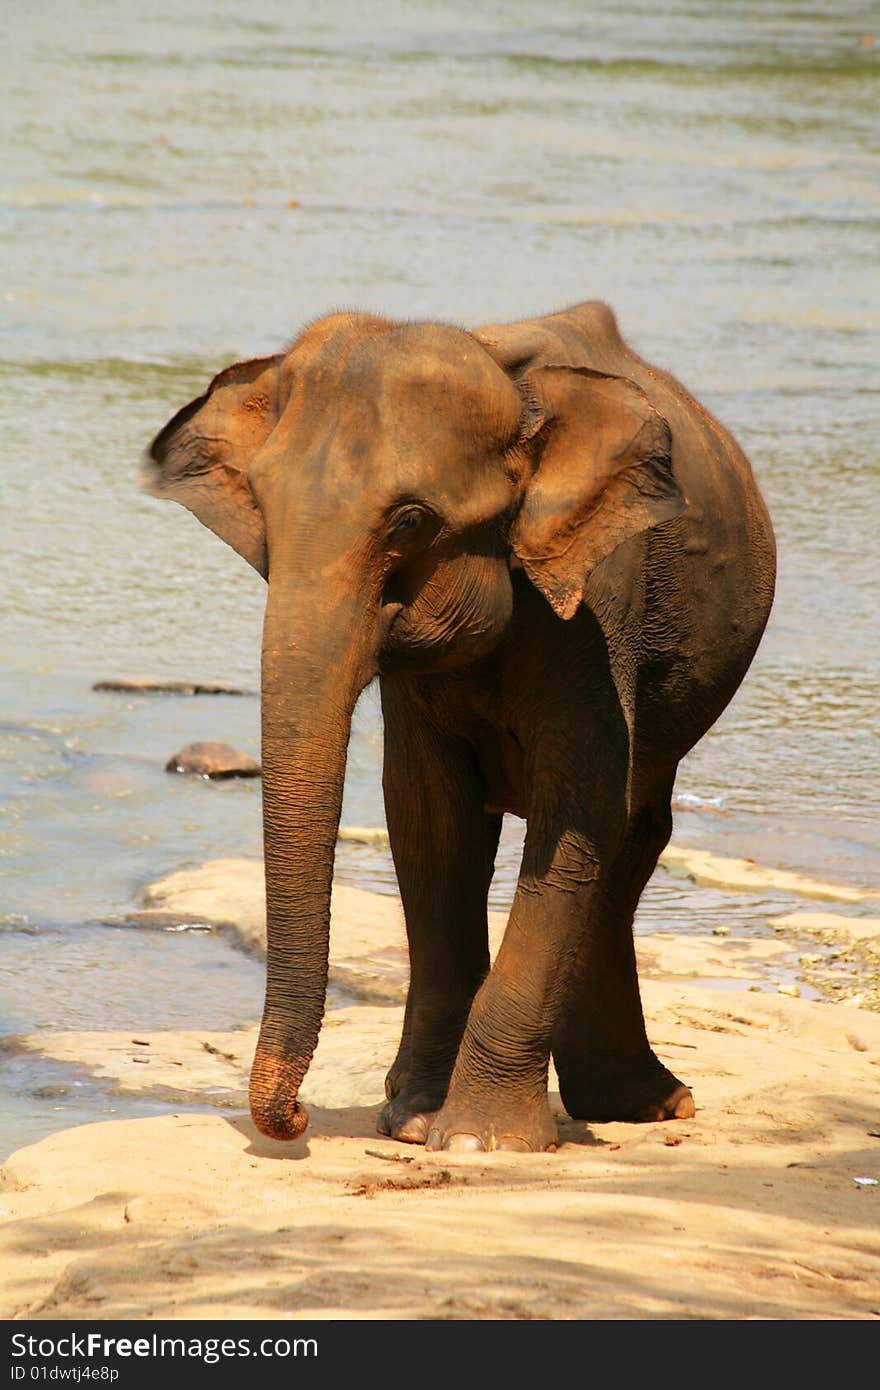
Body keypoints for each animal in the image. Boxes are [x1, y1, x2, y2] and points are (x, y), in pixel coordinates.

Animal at [147, 301, 772, 1150]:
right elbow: (430, 821)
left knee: (634, 833)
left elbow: (577, 814)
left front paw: (479, 1139)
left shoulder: (599, 603)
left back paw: (643, 1106)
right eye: (264, 512)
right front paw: (413, 1121)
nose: (297, 1117)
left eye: (411, 520)